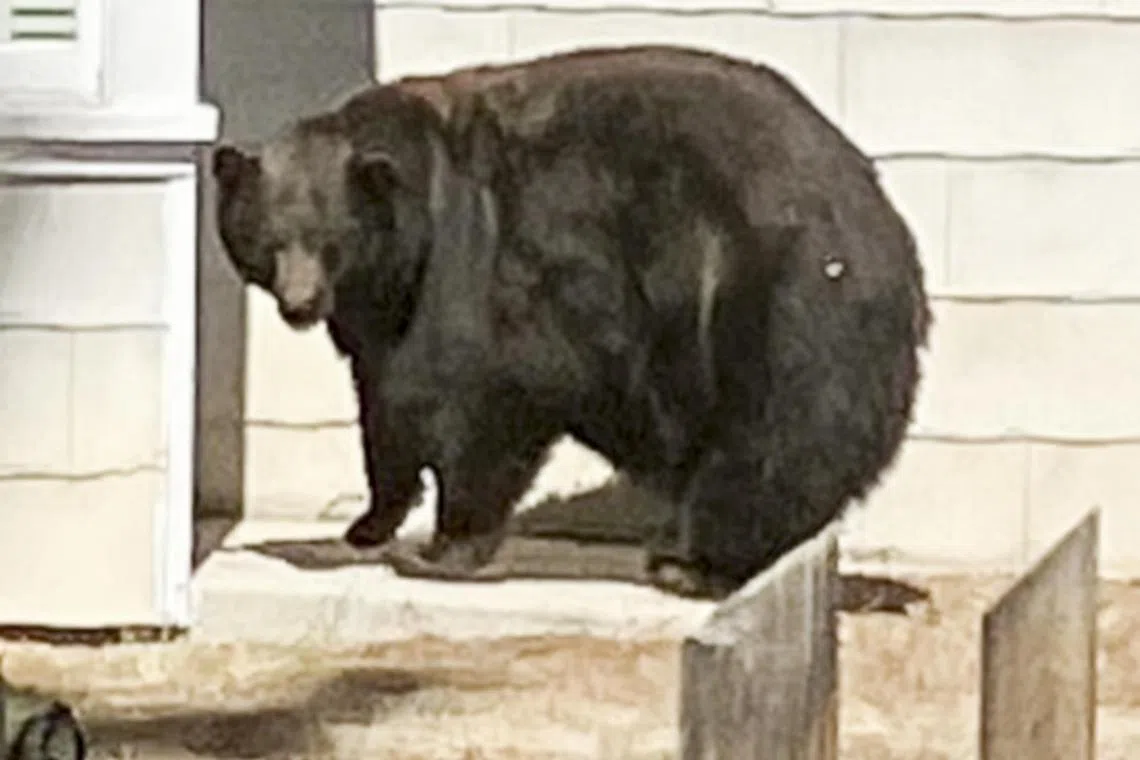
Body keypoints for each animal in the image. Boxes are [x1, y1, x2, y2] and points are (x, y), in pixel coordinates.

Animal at [212, 45, 931, 599]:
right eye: (268, 238)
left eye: (330, 239)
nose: (300, 304)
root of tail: (885, 221)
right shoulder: (382, 316)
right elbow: (385, 408)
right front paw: (368, 522)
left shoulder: (487, 266)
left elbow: (486, 399)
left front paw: (443, 546)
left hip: (773, 299)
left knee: (771, 437)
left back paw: (693, 562)